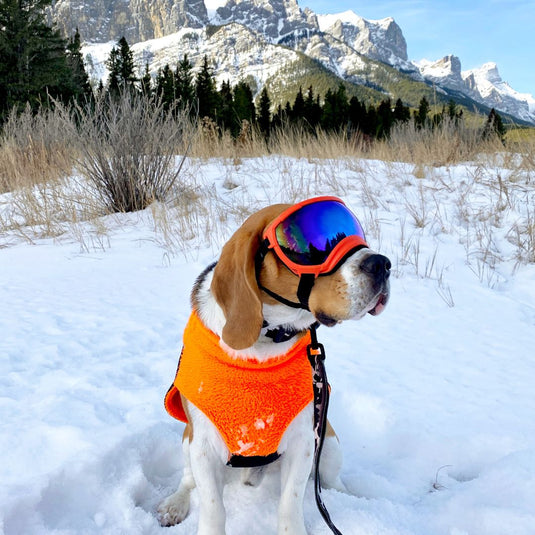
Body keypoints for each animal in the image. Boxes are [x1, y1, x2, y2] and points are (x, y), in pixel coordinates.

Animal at [157, 199, 392, 532]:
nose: (382, 264)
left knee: (329, 482)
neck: (265, 342)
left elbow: (289, 504)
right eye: (311, 248)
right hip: (186, 442)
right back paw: (174, 504)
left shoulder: (303, 442)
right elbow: (214, 509)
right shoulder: (202, 445)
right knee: (187, 482)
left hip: (328, 442)